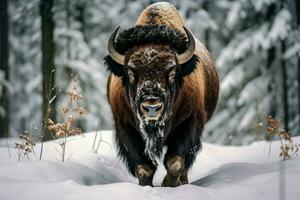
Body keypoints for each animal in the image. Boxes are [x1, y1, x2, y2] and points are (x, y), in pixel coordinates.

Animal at [103, 1, 218, 187]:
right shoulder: (125, 126)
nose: (151, 107)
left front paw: (168, 184)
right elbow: (144, 167)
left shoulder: (189, 121)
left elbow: (175, 162)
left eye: (172, 71)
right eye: (130, 71)